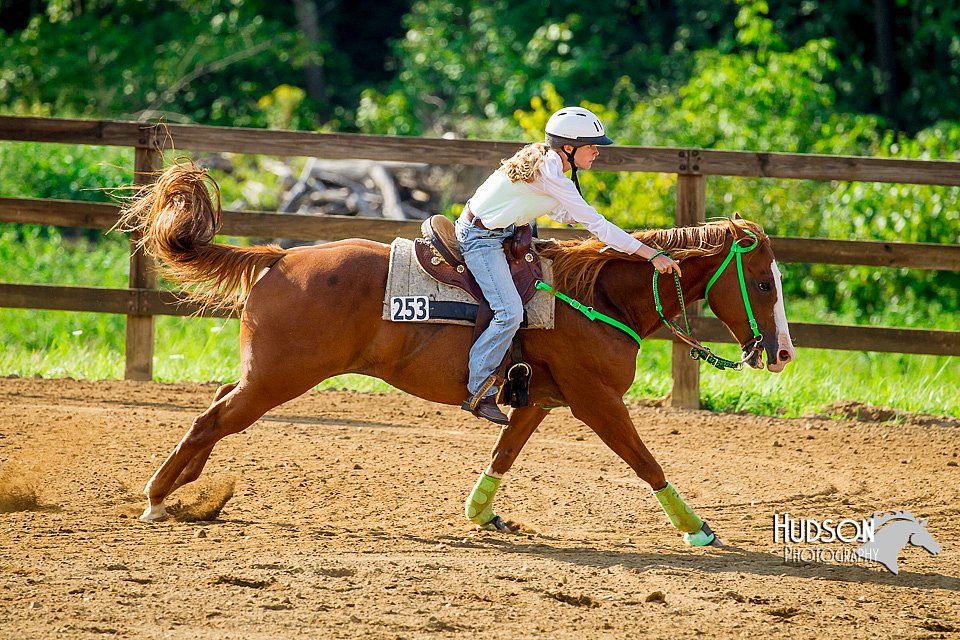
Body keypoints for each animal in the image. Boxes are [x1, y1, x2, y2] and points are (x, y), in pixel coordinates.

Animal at [120, 159, 796, 544]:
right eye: (763, 284)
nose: (784, 353)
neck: (595, 295)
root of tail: (279, 257)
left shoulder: (538, 399)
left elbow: (504, 452)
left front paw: (485, 515)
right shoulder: (596, 400)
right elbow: (645, 460)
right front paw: (696, 529)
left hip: (264, 376)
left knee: (215, 410)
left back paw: (187, 490)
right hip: (278, 379)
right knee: (210, 419)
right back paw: (157, 498)